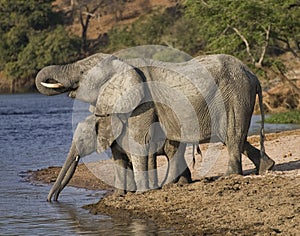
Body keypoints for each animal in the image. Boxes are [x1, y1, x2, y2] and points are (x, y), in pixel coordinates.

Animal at [35, 52, 274, 193]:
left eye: (83, 73)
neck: (124, 63)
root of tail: (254, 75)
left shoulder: (143, 103)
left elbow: (139, 141)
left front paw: (142, 193)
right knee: (234, 137)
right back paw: (267, 167)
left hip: (235, 94)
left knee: (233, 135)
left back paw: (229, 176)